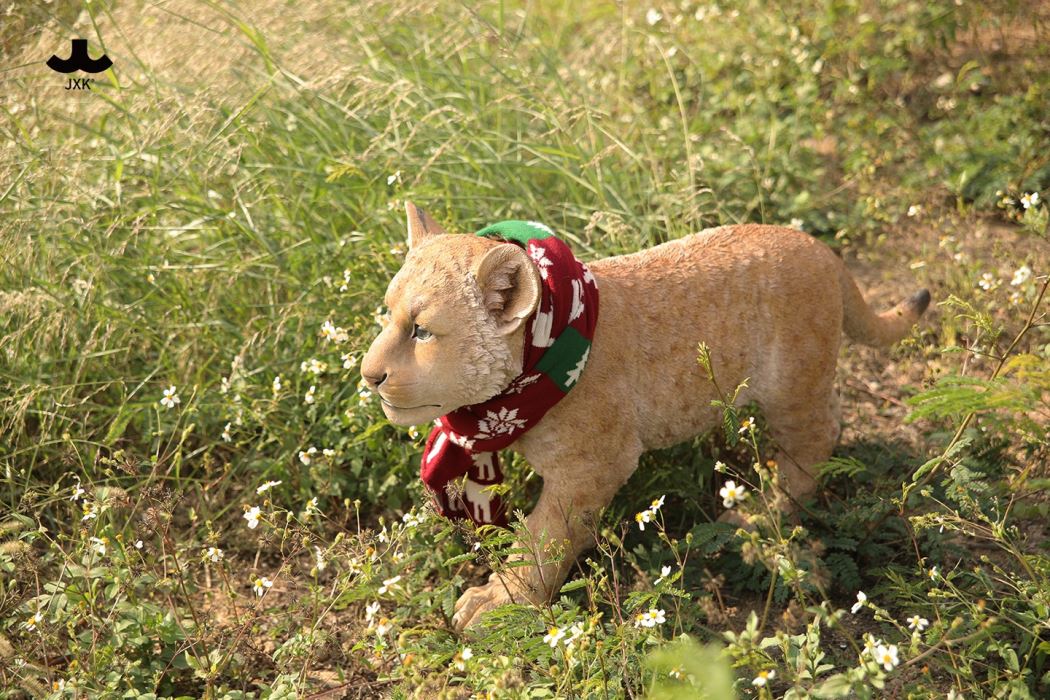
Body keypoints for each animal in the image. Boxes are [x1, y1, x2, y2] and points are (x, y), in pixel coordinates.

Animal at [361, 202, 930, 631]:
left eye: (422, 331)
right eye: (386, 314)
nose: (369, 376)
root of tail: (824, 252)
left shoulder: (595, 466)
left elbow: (543, 537)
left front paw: (499, 602)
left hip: (792, 388)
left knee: (814, 440)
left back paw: (757, 514)